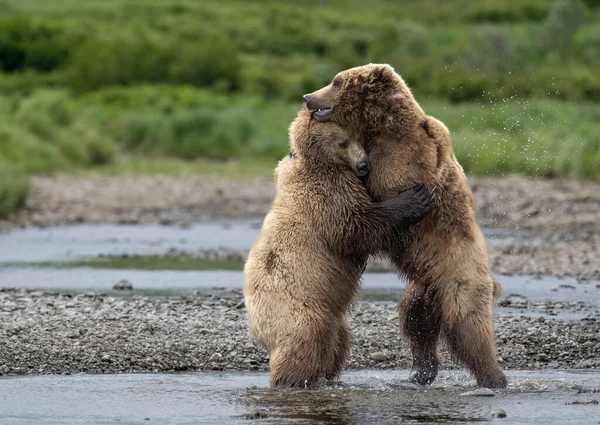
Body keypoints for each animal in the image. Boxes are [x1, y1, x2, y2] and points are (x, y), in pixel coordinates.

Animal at [241, 107, 434, 388]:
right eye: (343, 141)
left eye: (361, 138)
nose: (365, 165)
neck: (323, 163)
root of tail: (256, 326)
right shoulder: (326, 193)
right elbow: (357, 225)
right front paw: (416, 198)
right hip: (296, 309)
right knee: (306, 340)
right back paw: (291, 379)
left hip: (331, 315)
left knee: (338, 339)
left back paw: (327, 373)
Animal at [302, 63, 508, 388]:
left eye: (336, 82)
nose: (308, 96)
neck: (381, 126)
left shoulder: (405, 155)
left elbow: (385, 186)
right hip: (422, 292)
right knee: (416, 325)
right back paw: (420, 372)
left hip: (461, 281)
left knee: (470, 329)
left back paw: (494, 377)